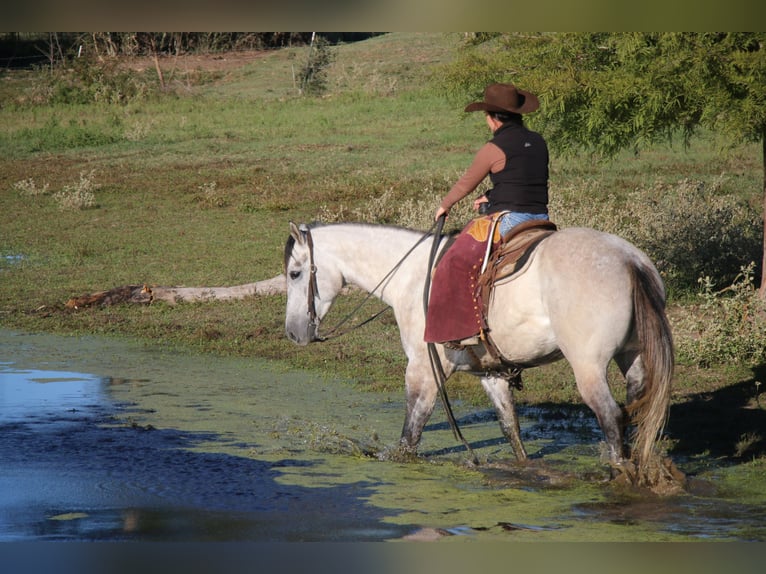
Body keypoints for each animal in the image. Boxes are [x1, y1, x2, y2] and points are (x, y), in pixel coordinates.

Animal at [283, 221, 674, 484]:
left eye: (295, 273)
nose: (292, 333)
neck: (412, 278)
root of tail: (629, 261)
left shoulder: (423, 371)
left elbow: (410, 435)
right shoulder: (492, 374)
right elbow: (511, 429)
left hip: (588, 368)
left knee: (611, 417)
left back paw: (618, 474)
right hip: (633, 360)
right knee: (636, 412)